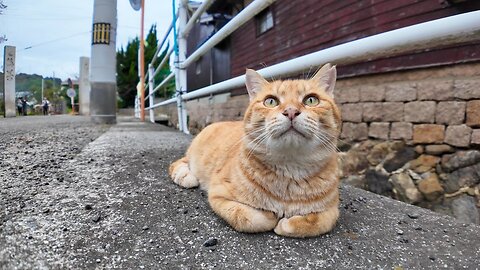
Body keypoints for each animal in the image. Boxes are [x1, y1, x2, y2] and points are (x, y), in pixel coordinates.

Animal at [169, 63, 342, 236]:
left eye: (311, 100)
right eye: (271, 101)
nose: (291, 111)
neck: (290, 170)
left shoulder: (332, 210)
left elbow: (318, 223)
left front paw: (286, 223)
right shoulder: (218, 194)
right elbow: (252, 219)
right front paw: (272, 216)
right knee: (176, 164)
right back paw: (186, 177)